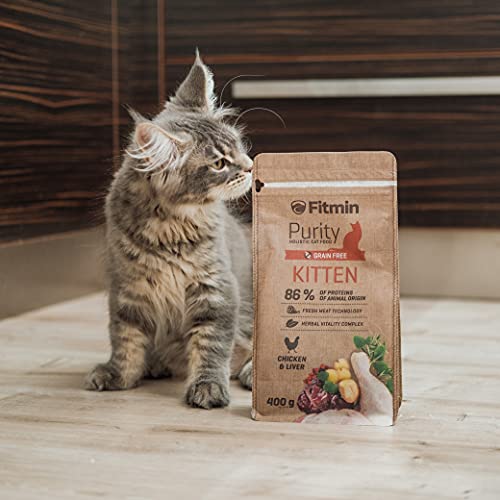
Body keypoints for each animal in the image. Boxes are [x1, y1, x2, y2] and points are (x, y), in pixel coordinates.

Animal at [85, 51, 254, 409]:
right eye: (219, 163)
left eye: (238, 145)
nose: (250, 166)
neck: (171, 226)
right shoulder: (127, 290)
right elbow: (125, 340)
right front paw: (118, 375)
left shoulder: (216, 287)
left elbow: (211, 345)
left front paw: (208, 387)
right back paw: (156, 364)